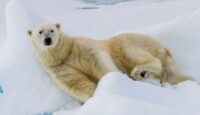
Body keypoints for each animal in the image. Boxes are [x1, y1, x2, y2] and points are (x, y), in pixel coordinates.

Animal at [28, 22, 192, 102]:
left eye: (52, 30)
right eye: (40, 32)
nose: (48, 40)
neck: (64, 53)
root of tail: (161, 46)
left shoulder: (81, 48)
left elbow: (98, 62)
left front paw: (114, 83)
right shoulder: (59, 67)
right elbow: (76, 83)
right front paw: (96, 95)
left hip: (130, 42)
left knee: (133, 53)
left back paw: (139, 71)